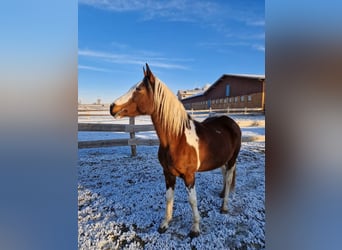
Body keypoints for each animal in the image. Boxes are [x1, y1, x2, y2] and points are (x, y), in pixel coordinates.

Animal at [111, 63, 242, 237]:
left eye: (138, 89)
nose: (112, 107)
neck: (177, 138)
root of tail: (231, 122)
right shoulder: (168, 173)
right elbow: (168, 197)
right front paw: (165, 224)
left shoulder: (189, 176)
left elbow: (192, 200)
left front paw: (195, 228)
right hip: (222, 159)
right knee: (224, 174)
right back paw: (221, 194)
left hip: (232, 159)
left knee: (228, 178)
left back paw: (224, 206)